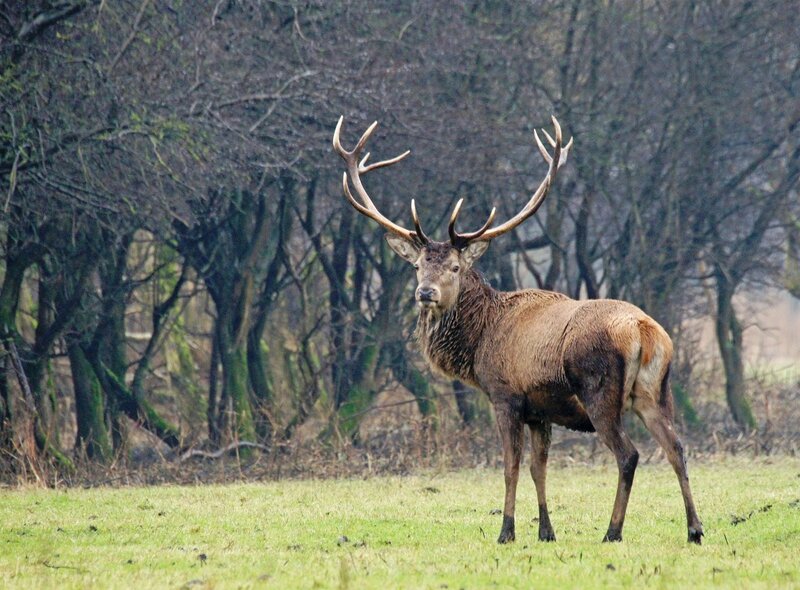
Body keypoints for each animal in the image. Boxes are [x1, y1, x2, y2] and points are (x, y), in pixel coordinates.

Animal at [332, 115, 703, 545]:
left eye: (455, 267)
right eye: (418, 265)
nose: (426, 293)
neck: (479, 342)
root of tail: (644, 331)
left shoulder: (505, 395)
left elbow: (510, 466)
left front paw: (506, 531)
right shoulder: (540, 411)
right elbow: (538, 468)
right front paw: (546, 531)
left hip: (600, 391)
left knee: (629, 454)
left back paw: (613, 531)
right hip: (656, 392)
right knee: (677, 447)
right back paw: (694, 529)